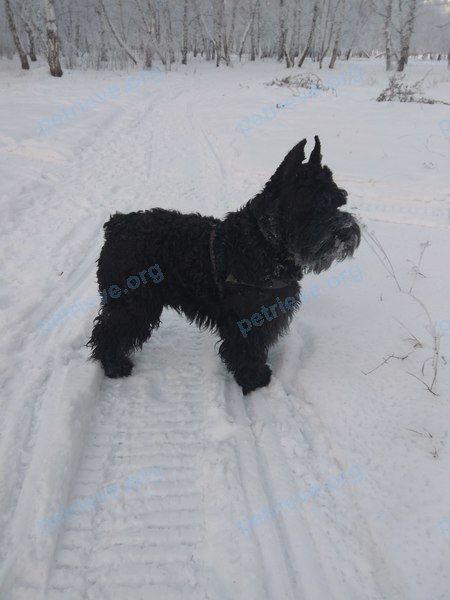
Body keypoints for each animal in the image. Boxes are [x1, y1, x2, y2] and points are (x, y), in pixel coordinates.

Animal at [89, 138, 360, 396]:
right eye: (314, 203)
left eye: (339, 201)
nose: (347, 232)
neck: (263, 241)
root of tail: (116, 225)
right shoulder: (247, 321)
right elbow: (245, 352)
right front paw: (256, 381)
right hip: (132, 303)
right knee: (107, 331)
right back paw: (115, 365)